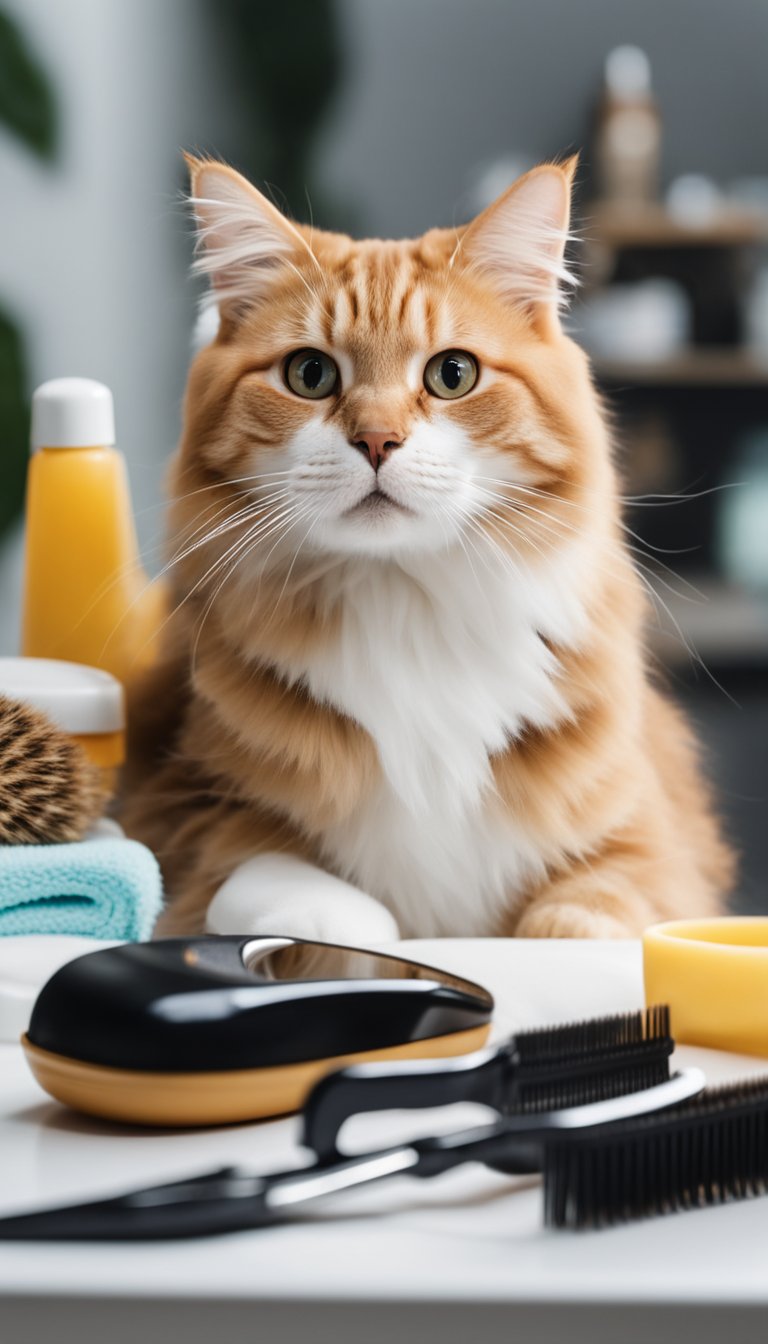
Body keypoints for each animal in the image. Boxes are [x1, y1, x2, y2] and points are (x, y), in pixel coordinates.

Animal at [123, 152, 737, 940]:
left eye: (453, 374)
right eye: (309, 374)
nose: (377, 440)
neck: (404, 606)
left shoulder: (650, 847)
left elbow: (583, 920)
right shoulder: (183, 808)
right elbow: (311, 896)